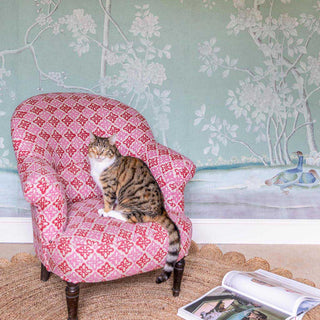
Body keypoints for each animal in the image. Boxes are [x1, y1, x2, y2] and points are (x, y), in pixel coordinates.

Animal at [88, 132, 180, 282]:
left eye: (105, 149)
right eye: (96, 148)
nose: (99, 155)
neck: (99, 166)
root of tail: (162, 210)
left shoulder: (109, 187)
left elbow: (108, 201)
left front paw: (105, 210)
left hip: (129, 203)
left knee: (131, 217)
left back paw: (112, 212)